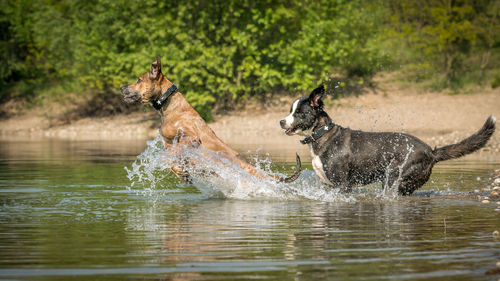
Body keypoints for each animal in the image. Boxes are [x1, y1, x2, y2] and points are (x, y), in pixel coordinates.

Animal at [121, 57, 300, 184]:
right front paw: (181, 173)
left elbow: (171, 154)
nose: (122, 88)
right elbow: (172, 162)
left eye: (138, 80)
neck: (170, 105)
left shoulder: (190, 137)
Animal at [282, 85, 496, 195]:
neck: (323, 136)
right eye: (290, 111)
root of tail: (431, 151)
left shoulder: (342, 185)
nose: (281, 121)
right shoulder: (327, 185)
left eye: (299, 113)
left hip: (394, 179)